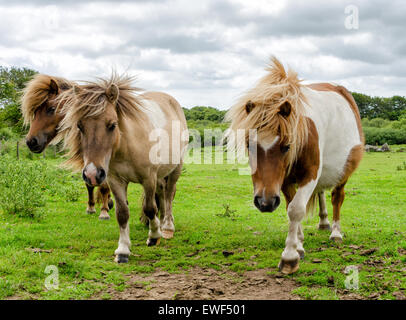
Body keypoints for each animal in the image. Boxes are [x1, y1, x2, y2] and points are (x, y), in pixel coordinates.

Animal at [21, 74, 114, 220]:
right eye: (35, 111)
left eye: (51, 108)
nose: (31, 141)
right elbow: (89, 183)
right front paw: (91, 207)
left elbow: (103, 185)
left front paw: (104, 211)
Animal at [59, 74, 189, 262]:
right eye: (79, 126)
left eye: (112, 125)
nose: (92, 174)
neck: (126, 147)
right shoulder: (116, 180)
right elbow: (122, 213)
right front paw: (123, 250)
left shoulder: (148, 178)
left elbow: (150, 208)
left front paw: (154, 236)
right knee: (162, 194)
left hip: (175, 169)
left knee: (169, 194)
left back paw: (167, 227)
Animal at [225, 57, 364, 272]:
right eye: (249, 145)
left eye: (287, 146)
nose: (264, 202)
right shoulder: (283, 181)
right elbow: (291, 208)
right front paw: (299, 245)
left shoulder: (310, 174)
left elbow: (296, 209)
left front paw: (289, 256)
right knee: (321, 193)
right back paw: (323, 223)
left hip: (344, 172)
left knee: (337, 197)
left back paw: (335, 232)